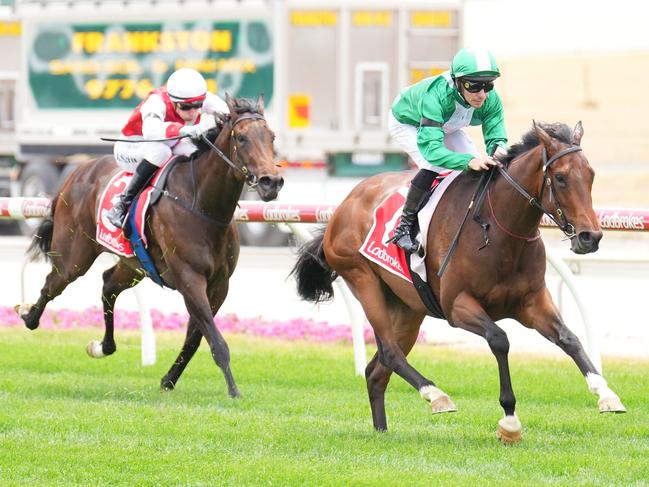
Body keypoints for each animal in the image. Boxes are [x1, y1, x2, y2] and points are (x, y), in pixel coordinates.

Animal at [16, 93, 280, 398]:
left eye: (271, 137)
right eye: (242, 138)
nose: (272, 182)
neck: (202, 204)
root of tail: (75, 173)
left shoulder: (219, 284)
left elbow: (195, 339)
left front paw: (168, 380)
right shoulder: (189, 279)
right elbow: (216, 342)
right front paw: (234, 391)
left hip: (135, 265)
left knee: (108, 284)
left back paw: (103, 346)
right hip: (74, 256)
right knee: (52, 284)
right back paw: (28, 316)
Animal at [292, 121, 624, 442]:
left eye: (591, 175)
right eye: (561, 177)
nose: (590, 237)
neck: (501, 231)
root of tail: (344, 205)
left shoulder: (532, 303)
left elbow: (569, 338)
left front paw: (606, 394)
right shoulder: (457, 306)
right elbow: (499, 339)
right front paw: (509, 421)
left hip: (408, 308)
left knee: (376, 371)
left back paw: (382, 431)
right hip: (362, 279)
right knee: (389, 351)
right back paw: (436, 395)